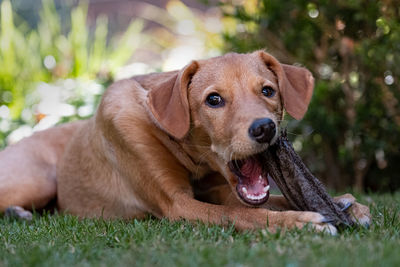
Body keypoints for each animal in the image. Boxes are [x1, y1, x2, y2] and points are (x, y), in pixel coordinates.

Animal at [0, 51, 372, 233]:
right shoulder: (177, 205)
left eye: (268, 90)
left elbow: (269, 202)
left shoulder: (223, 190)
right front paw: (299, 223)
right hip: (38, 178)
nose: (264, 129)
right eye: (213, 100)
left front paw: (344, 204)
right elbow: (240, 215)